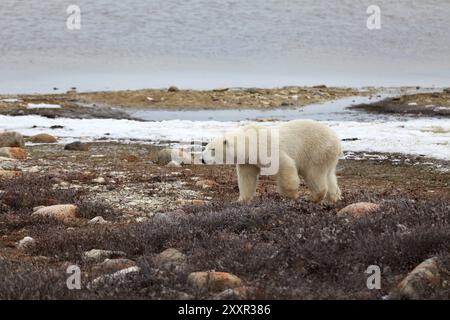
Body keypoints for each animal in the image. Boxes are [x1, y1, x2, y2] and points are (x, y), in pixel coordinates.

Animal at [202, 119, 342, 204]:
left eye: (213, 149)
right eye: (205, 147)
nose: (202, 159)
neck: (251, 141)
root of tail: (337, 142)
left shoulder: (267, 149)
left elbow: (285, 166)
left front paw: (290, 195)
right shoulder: (248, 161)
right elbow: (247, 178)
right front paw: (241, 200)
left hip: (316, 151)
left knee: (314, 174)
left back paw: (313, 197)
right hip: (328, 157)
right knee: (330, 175)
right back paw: (334, 197)